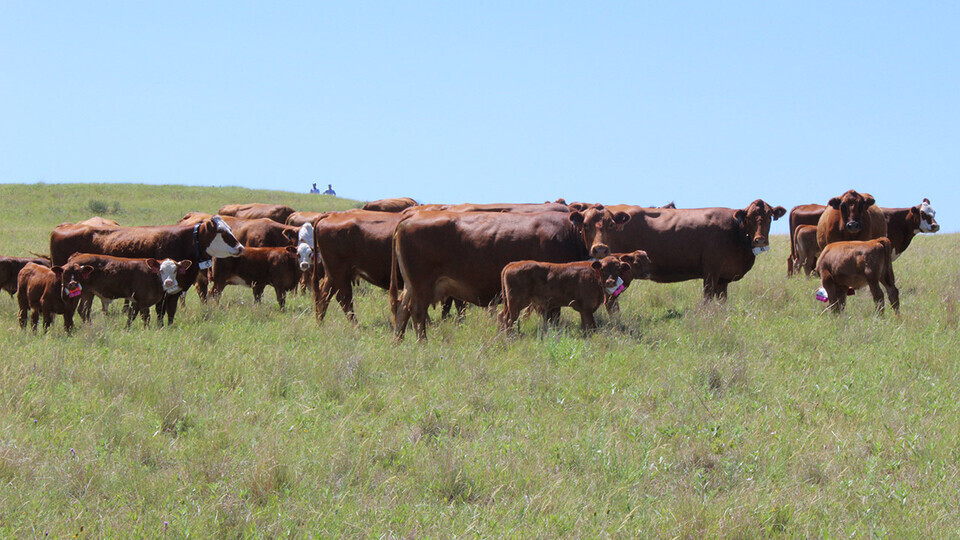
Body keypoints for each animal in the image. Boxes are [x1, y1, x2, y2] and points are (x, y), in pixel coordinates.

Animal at [388, 210, 584, 340]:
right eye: (587, 225)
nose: (597, 248)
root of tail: (410, 217)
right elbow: (552, 317)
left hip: (411, 286)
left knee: (402, 309)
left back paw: (399, 341)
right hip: (422, 285)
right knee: (416, 310)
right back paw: (422, 342)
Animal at [496, 255, 636, 332]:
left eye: (618, 269)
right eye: (603, 269)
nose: (610, 282)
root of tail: (513, 264)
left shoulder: (584, 310)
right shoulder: (587, 308)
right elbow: (591, 327)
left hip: (509, 304)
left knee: (502, 316)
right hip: (516, 303)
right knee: (509, 320)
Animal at [568, 200, 780, 300]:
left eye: (770, 216)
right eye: (750, 217)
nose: (760, 239)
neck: (735, 231)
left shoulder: (723, 278)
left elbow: (721, 300)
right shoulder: (711, 271)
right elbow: (708, 297)